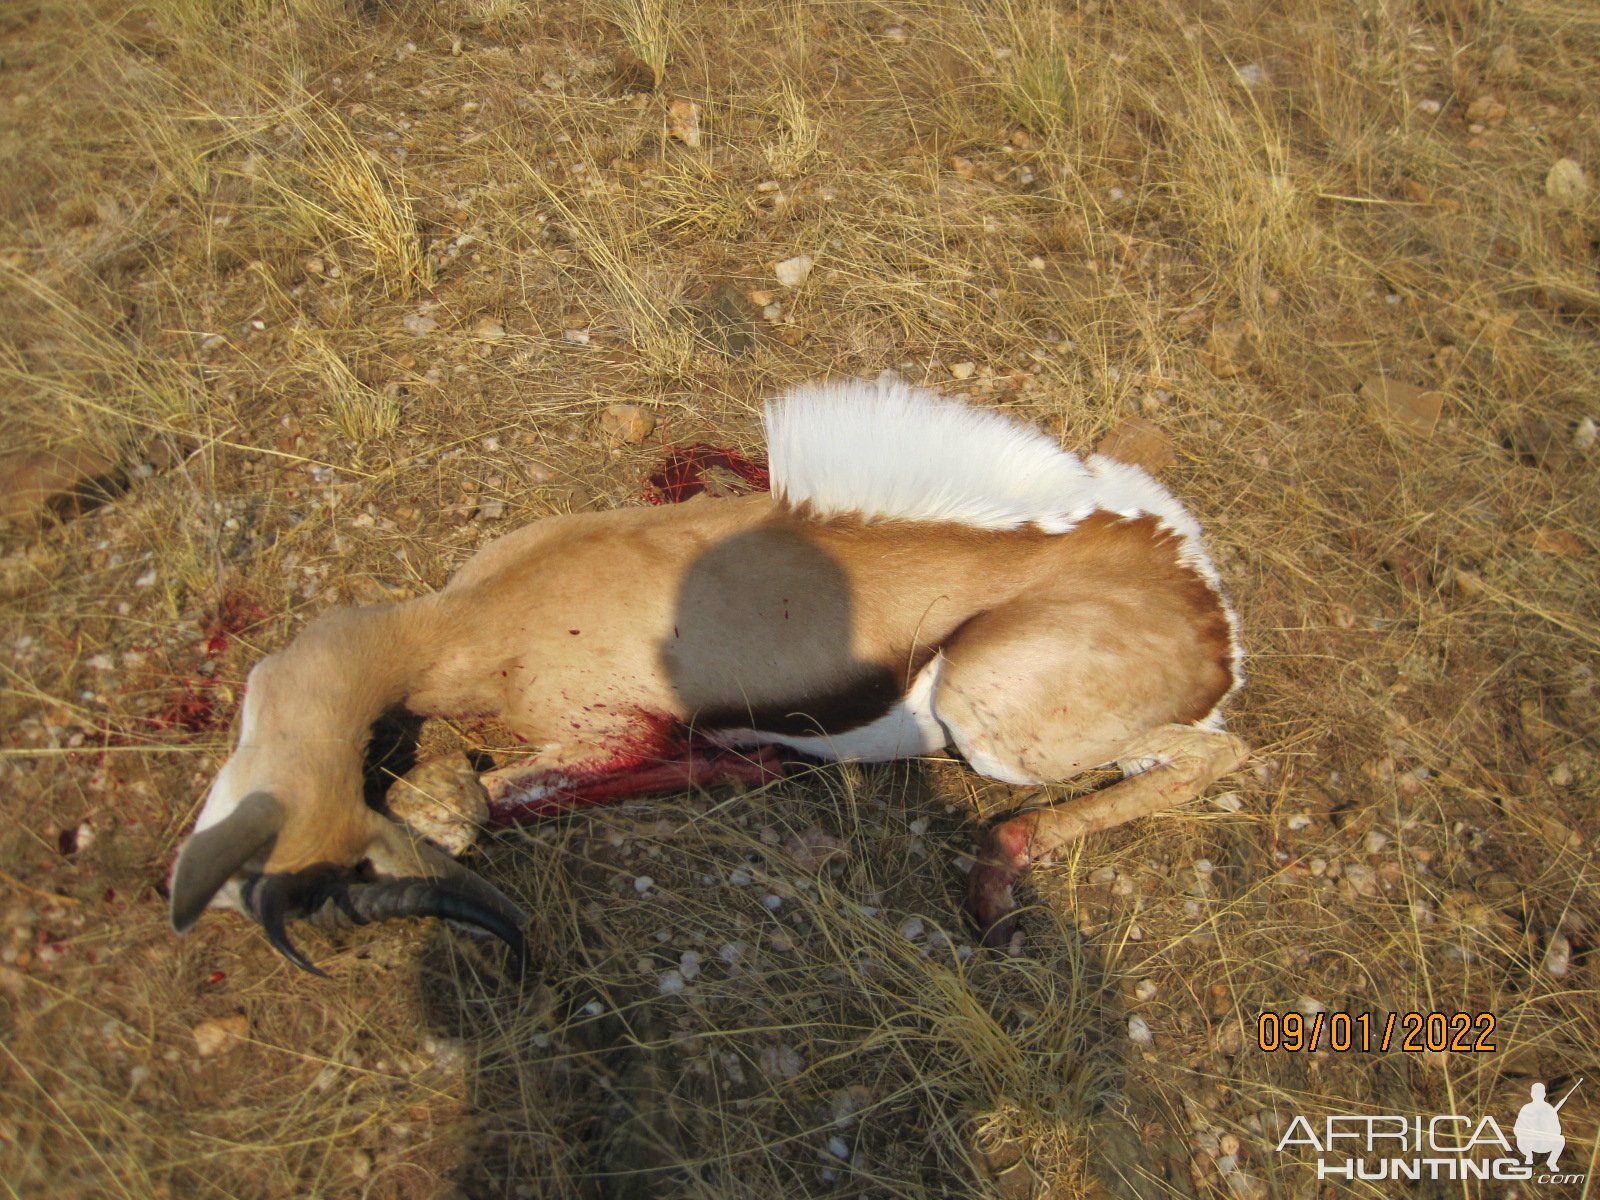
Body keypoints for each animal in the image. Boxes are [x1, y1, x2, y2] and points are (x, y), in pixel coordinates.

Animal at [172, 380, 1248, 972]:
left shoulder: (598, 734)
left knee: (1222, 756)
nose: (196, 907)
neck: (472, 620)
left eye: (323, 887)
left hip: (982, 714)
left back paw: (994, 877)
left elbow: (464, 804)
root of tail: (1191, 591)